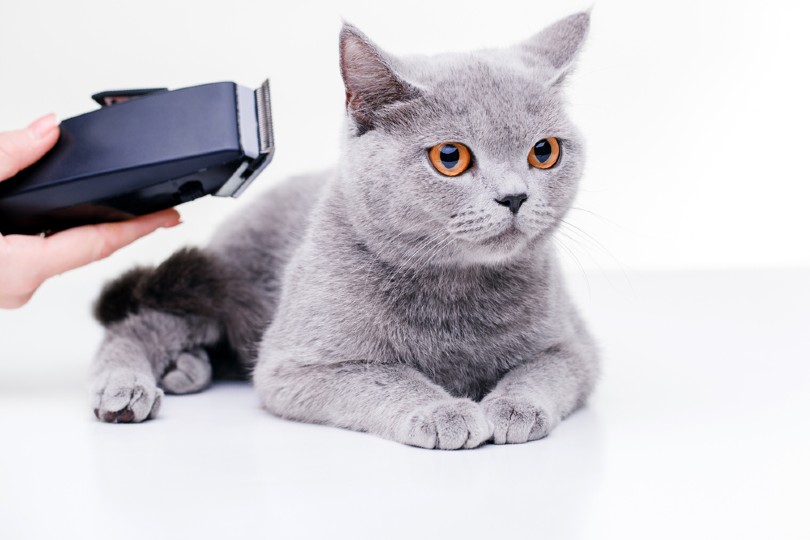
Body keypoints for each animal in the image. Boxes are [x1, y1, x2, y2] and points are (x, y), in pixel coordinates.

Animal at [88, 12, 596, 450]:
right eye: (450, 157)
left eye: (544, 152)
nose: (514, 197)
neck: (455, 290)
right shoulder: (294, 367)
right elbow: (386, 375)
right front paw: (442, 412)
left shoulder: (577, 346)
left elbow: (545, 369)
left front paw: (514, 407)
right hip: (220, 279)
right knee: (142, 324)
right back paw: (125, 389)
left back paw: (189, 368)